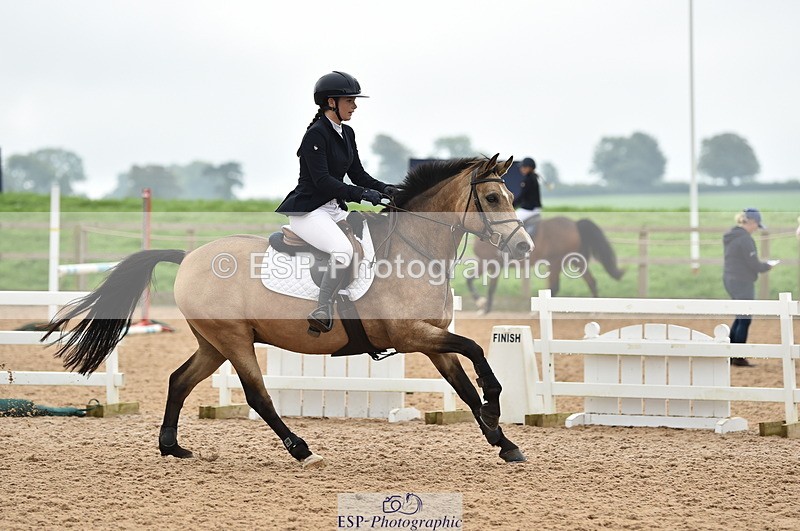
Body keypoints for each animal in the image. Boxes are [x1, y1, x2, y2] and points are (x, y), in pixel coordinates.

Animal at [42, 154, 534, 467]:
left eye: (511, 197)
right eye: (493, 199)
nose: (524, 247)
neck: (413, 250)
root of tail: (190, 256)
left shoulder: (431, 339)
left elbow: (463, 386)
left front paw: (503, 441)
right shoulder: (410, 334)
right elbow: (475, 351)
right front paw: (496, 407)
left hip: (212, 343)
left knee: (179, 380)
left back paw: (172, 447)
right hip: (234, 340)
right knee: (257, 395)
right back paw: (301, 449)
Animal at [466, 216, 624, 313]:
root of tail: (574, 223)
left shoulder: (490, 263)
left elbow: (483, 285)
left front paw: (482, 305)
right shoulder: (489, 263)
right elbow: (478, 283)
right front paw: (484, 307)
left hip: (555, 262)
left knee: (555, 287)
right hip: (575, 260)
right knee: (591, 281)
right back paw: (595, 310)